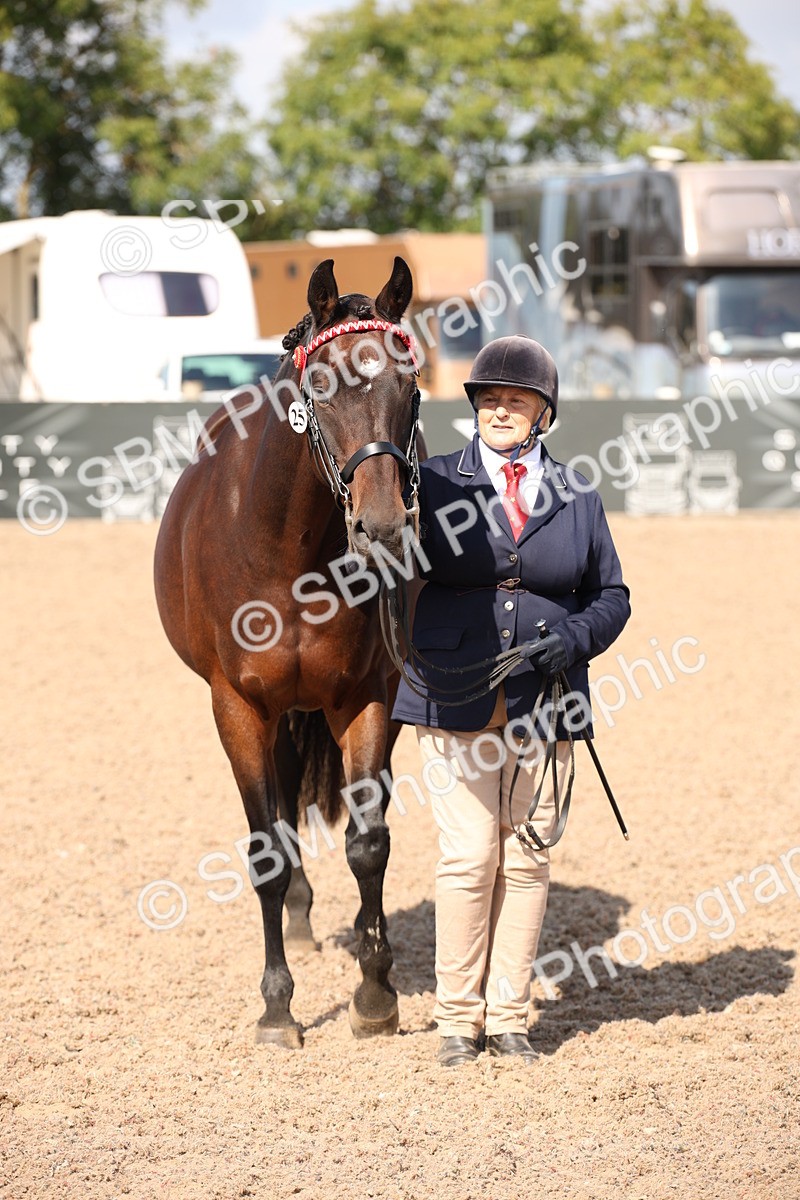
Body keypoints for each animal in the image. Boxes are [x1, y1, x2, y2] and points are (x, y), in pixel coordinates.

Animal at [153, 257, 422, 1048]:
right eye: (323, 387)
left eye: (411, 389)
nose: (383, 526)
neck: (288, 548)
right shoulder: (238, 708)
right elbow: (265, 853)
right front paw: (278, 1006)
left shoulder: (367, 698)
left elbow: (370, 843)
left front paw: (374, 991)